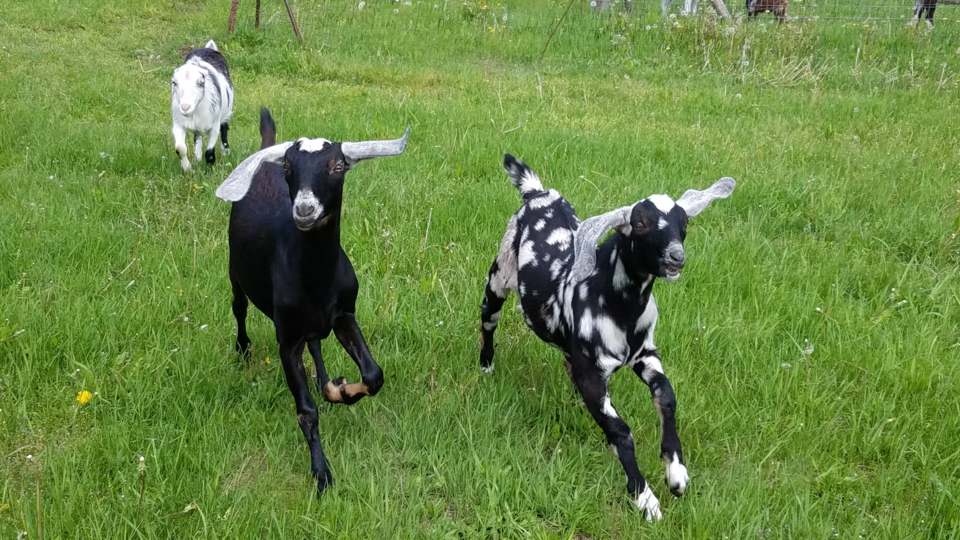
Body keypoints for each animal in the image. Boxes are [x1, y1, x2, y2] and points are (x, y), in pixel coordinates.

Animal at [171, 40, 234, 172]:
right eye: (174, 83)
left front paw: (210, 170)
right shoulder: (178, 123)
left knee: (224, 128)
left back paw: (225, 151)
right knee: (197, 136)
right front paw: (188, 169)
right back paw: (197, 157)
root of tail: (207, 48)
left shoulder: (214, 125)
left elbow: (209, 152)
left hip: (226, 112)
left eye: (201, 83)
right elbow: (180, 148)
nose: (185, 107)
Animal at [214, 108, 410, 494]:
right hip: (235, 274)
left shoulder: (344, 314)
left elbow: (373, 375)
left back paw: (324, 382)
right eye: (290, 167)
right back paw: (243, 349)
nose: (304, 209)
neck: (317, 277)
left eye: (338, 165)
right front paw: (321, 473)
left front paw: (340, 390)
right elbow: (306, 410)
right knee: (239, 308)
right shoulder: (286, 339)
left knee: (316, 343)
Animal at [478, 154, 734, 520]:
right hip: (499, 273)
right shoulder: (593, 375)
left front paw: (676, 474)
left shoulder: (645, 354)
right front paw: (645, 498)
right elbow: (620, 431)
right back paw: (486, 364)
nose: (676, 257)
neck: (616, 305)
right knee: (488, 319)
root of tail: (537, 193)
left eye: (683, 222)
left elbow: (666, 396)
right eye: (640, 222)